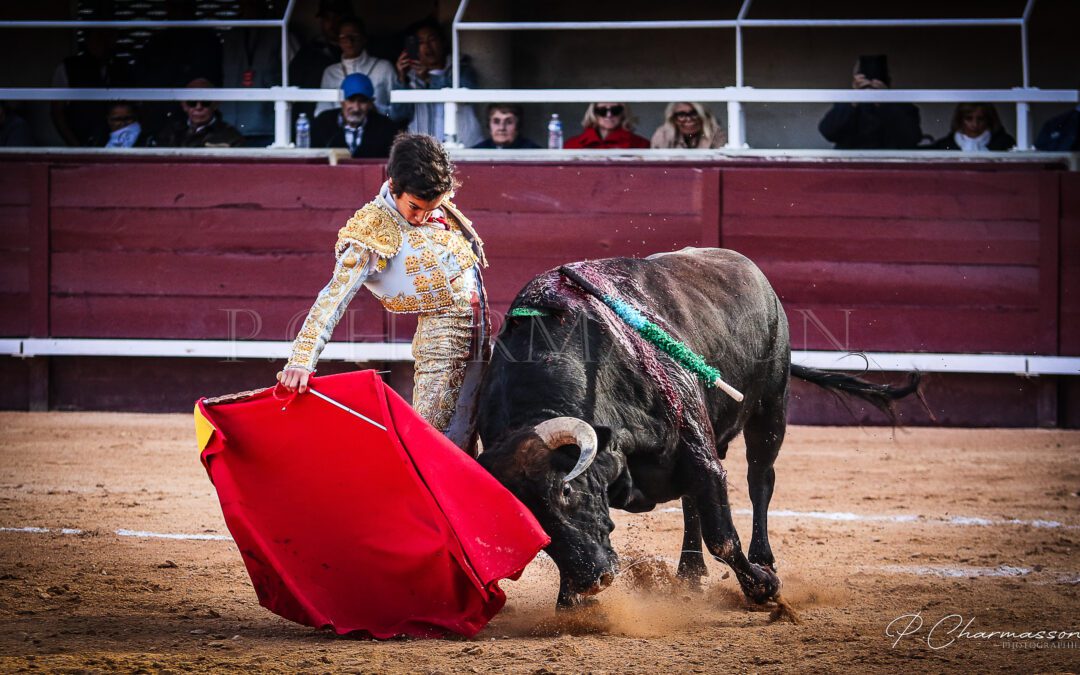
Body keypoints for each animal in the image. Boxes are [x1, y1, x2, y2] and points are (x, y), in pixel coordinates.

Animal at [475, 247, 920, 604]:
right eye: (525, 516)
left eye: (566, 490)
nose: (591, 580)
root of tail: (752, 270)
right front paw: (571, 600)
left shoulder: (701, 454)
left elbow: (722, 535)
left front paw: (764, 587)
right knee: (693, 504)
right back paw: (689, 573)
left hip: (770, 409)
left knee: (760, 479)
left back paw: (763, 559)